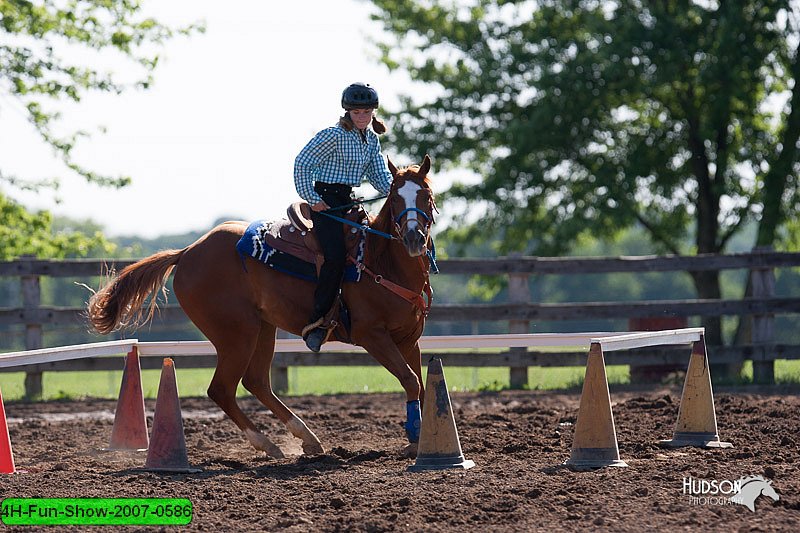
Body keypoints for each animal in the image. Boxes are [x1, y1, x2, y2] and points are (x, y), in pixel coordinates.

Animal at [87, 155, 438, 458]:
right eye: (395, 198)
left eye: (426, 196)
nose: (413, 239)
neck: (380, 260)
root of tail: (187, 251)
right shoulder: (372, 335)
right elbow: (410, 379)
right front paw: (415, 435)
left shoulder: (409, 339)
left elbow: (422, 387)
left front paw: (424, 438)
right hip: (237, 334)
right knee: (222, 389)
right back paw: (267, 443)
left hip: (263, 328)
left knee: (256, 382)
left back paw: (306, 438)